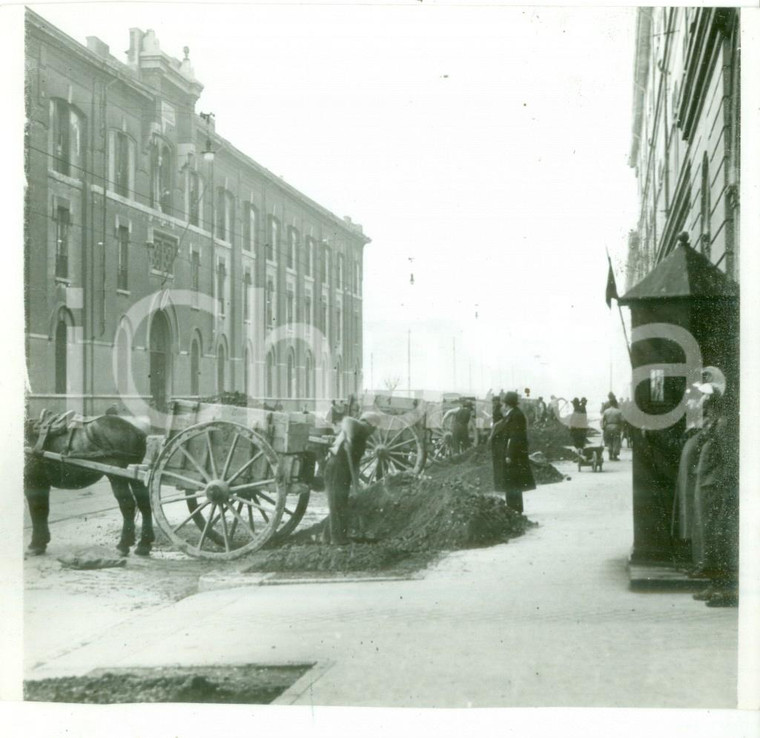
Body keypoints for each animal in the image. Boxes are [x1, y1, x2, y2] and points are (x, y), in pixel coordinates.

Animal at [24, 412, 154, 556]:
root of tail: (137, 431)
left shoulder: (33, 481)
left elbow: (35, 510)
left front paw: (36, 544)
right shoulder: (41, 482)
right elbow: (43, 509)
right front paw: (42, 541)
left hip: (117, 476)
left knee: (128, 505)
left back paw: (124, 544)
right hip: (135, 475)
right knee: (144, 504)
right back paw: (144, 545)